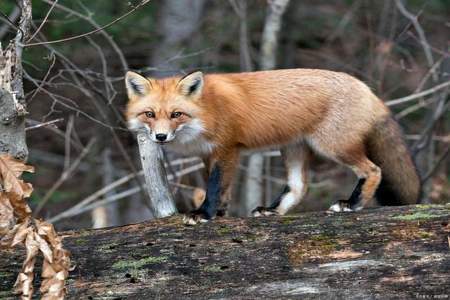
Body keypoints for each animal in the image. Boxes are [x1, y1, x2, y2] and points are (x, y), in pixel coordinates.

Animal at [125, 68, 420, 223]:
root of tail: (366, 88)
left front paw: (204, 214)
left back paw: (351, 203)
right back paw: (273, 210)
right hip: (293, 149)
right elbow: (223, 189)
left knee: (373, 170)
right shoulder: (209, 154)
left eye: (176, 114)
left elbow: (216, 185)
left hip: (333, 146)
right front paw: (219, 213)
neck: (207, 110)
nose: (160, 137)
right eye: (149, 114)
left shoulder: (227, 149)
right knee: (299, 187)